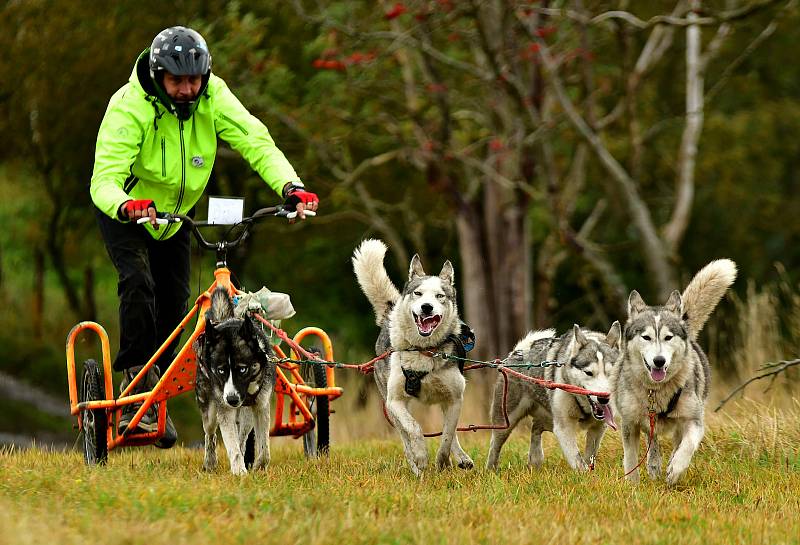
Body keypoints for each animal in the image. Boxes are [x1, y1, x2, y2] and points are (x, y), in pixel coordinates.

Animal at [193, 286, 276, 474]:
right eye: (221, 370)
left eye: (242, 369)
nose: (231, 399)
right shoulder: (224, 409)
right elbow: (232, 445)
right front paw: (239, 471)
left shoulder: (261, 406)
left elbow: (265, 449)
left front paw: (259, 466)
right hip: (210, 410)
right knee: (210, 434)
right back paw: (210, 462)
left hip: (247, 416)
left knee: (242, 436)